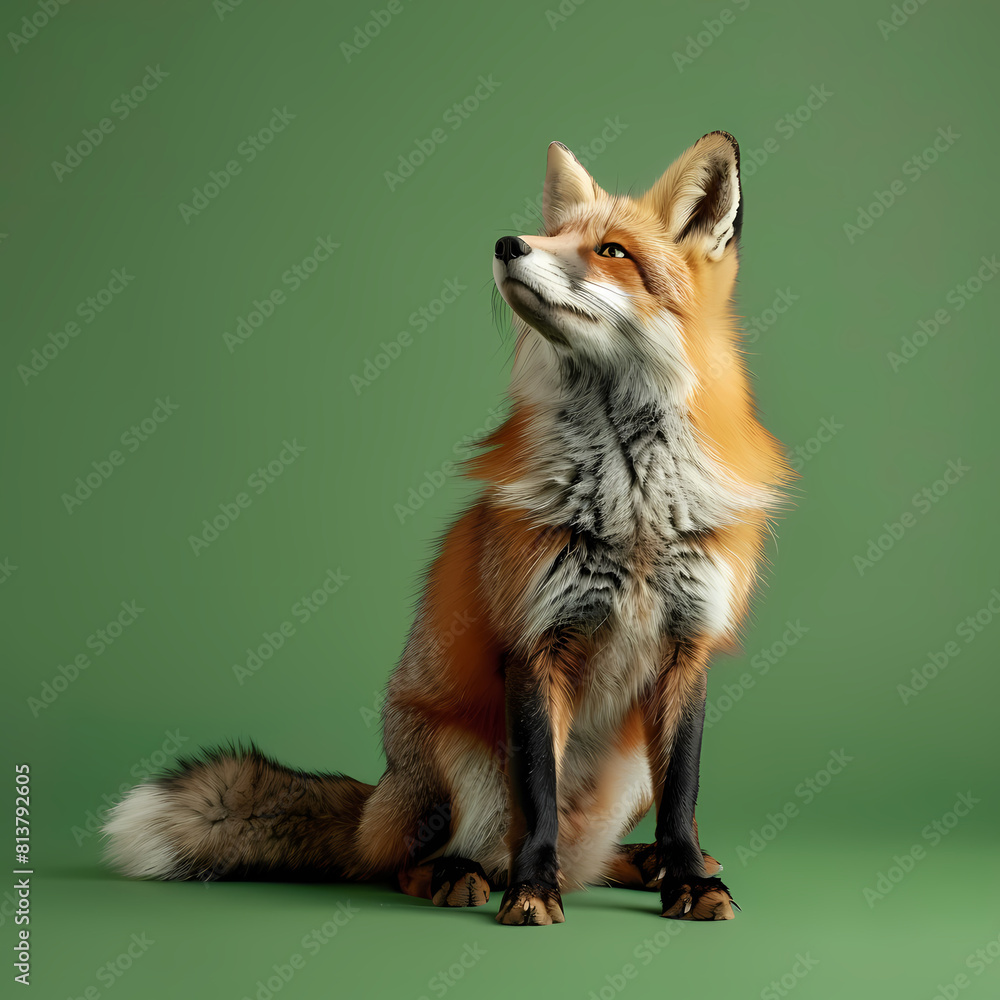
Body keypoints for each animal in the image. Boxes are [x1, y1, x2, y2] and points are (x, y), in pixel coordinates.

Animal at [103, 131, 790, 925]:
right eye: (551, 234)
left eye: (612, 251)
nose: (508, 243)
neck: (632, 513)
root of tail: (377, 798)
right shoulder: (534, 644)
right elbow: (538, 800)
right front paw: (531, 892)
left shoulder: (687, 651)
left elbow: (684, 798)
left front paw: (687, 879)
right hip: (463, 766)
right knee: (410, 862)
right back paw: (460, 876)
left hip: (626, 773)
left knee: (589, 857)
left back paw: (642, 863)